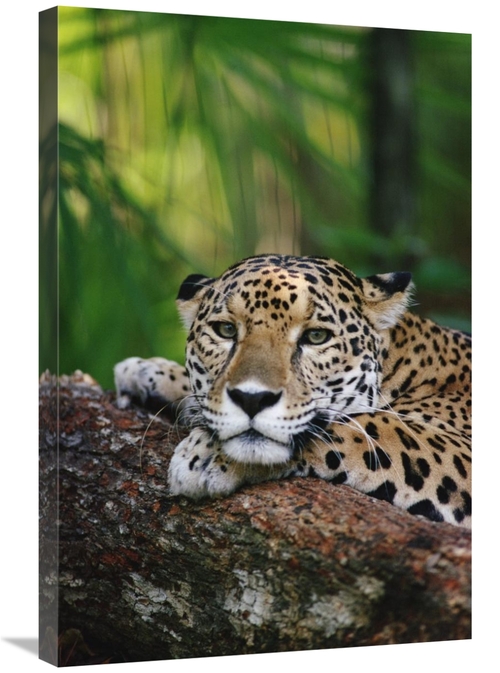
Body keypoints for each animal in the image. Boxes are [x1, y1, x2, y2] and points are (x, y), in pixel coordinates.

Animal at [114, 254, 471, 528]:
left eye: (316, 336)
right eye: (226, 330)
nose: (252, 399)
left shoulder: (460, 449)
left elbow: (369, 426)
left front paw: (207, 456)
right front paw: (147, 372)